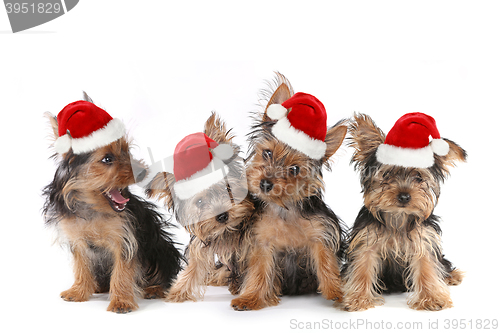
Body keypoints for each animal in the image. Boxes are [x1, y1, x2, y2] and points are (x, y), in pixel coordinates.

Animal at [43, 93, 182, 312]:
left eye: (127, 150)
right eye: (107, 159)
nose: (143, 172)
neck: (92, 207)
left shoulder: (125, 238)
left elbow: (123, 270)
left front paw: (121, 301)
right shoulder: (77, 240)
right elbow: (82, 266)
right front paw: (79, 291)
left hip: (161, 248)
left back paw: (154, 289)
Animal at [145, 111, 254, 300]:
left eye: (227, 188)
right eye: (200, 202)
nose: (222, 216)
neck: (226, 231)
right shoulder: (201, 244)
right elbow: (194, 268)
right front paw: (176, 293)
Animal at [231, 74, 346, 310]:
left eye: (294, 170)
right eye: (267, 153)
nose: (265, 184)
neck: (284, 207)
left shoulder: (321, 233)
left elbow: (326, 261)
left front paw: (336, 290)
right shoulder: (261, 241)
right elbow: (259, 270)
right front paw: (251, 297)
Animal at [342, 113, 466, 310]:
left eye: (418, 177)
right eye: (386, 175)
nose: (404, 196)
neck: (397, 216)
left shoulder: (424, 240)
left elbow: (427, 266)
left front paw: (432, 298)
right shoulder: (366, 241)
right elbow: (362, 267)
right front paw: (358, 298)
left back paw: (452, 275)